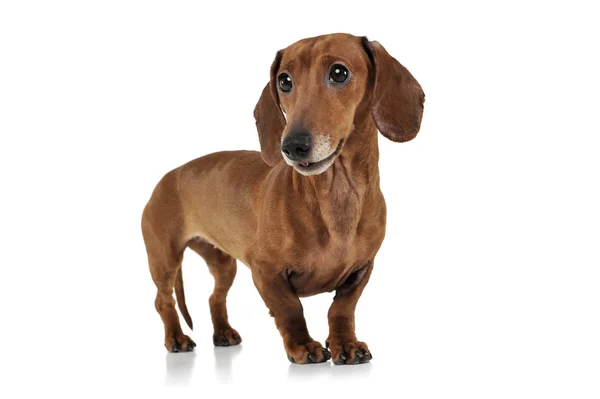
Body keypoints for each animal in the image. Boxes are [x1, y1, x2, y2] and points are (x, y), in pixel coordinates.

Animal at [141, 33, 424, 366]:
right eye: (285, 81)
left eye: (339, 73)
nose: (292, 146)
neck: (337, 195)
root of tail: (166, 178)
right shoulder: (265, 272)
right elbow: (290, 309)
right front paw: (303, 346)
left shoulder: (361, 270)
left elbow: (342, 309)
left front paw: (346, 344)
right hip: (164, 258)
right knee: (163, 300)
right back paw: (176, 338)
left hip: (223, 263)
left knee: (215, 296)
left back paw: (223, 333)